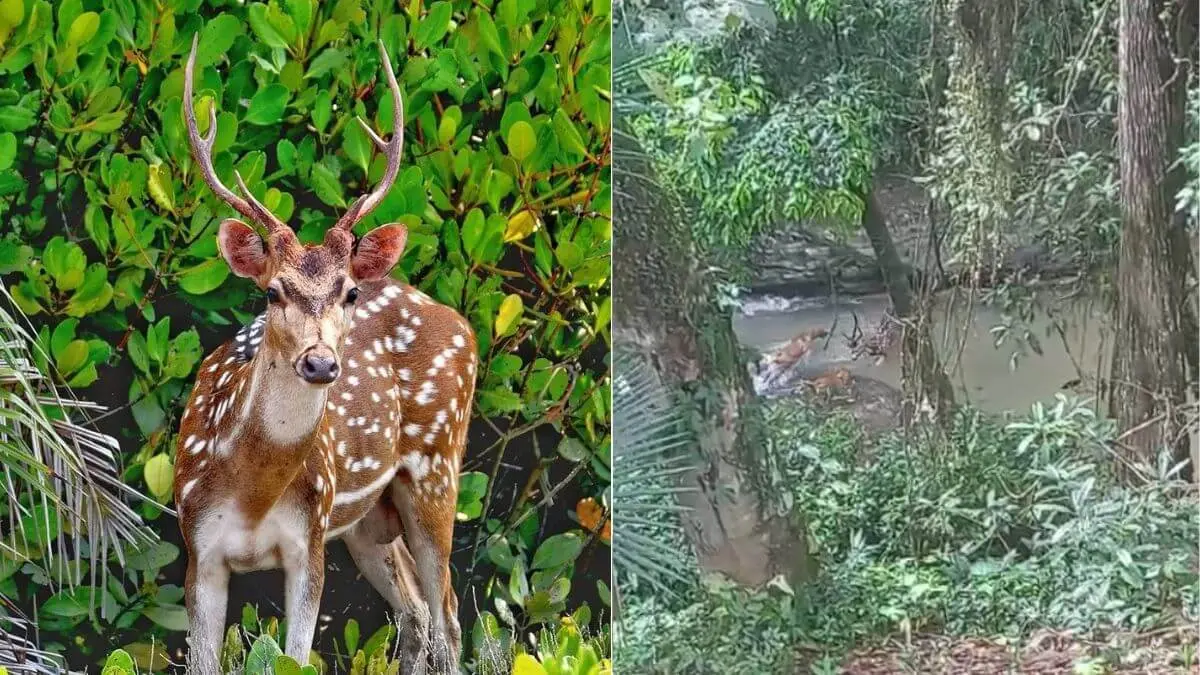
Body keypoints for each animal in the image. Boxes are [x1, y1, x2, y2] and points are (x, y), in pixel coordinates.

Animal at [172, 35, 475, 675]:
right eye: (272, 291)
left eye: (350, 292)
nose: (319, 363)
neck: (252, 496)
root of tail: (456, 316)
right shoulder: (198, 546)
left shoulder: (308, 543)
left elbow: (296, 655)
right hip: (366, 521)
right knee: (416, 613)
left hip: (437, 468)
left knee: (449, 616)